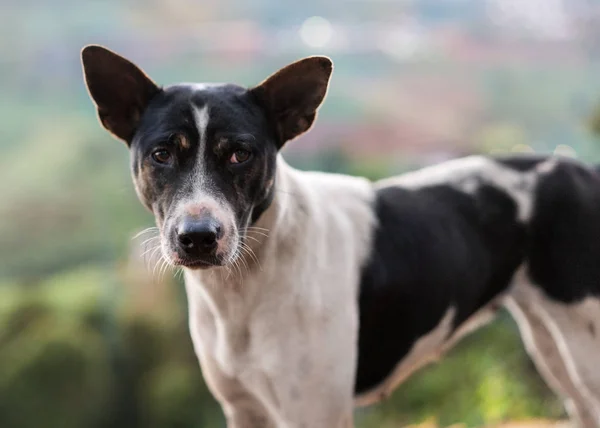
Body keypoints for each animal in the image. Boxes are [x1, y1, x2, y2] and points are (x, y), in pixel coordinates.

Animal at [83, 46, 600, 428]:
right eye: (162, 153)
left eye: (240, 154)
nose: (198, 237)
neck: (245, 290)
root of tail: (580, 169)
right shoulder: (244, 410)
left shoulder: (314, 412)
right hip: (551, 344)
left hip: (583, 346)